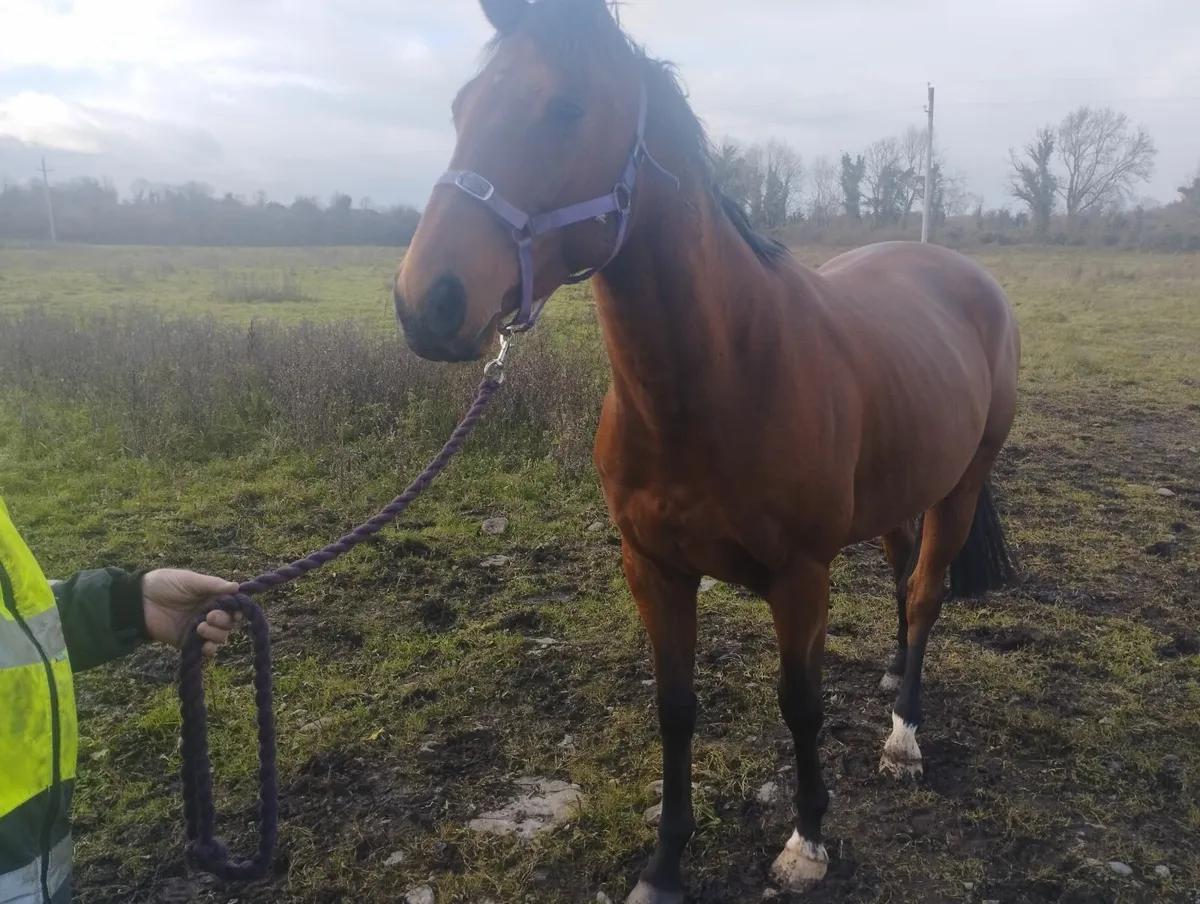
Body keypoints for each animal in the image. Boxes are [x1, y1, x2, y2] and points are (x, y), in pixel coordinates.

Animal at [392, 0, 1021, 900]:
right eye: (459, 108)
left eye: (566, 109)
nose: (427, 302)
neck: (717, 382)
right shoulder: (652, 566)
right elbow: (675, 706)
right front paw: (664, 863)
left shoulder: (800, 576)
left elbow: (800, 704)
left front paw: (808, 838)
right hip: (899, 488)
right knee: (904, 578)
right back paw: (895, 679)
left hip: (962, 483)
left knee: (928, 592)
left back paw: (904, 737)